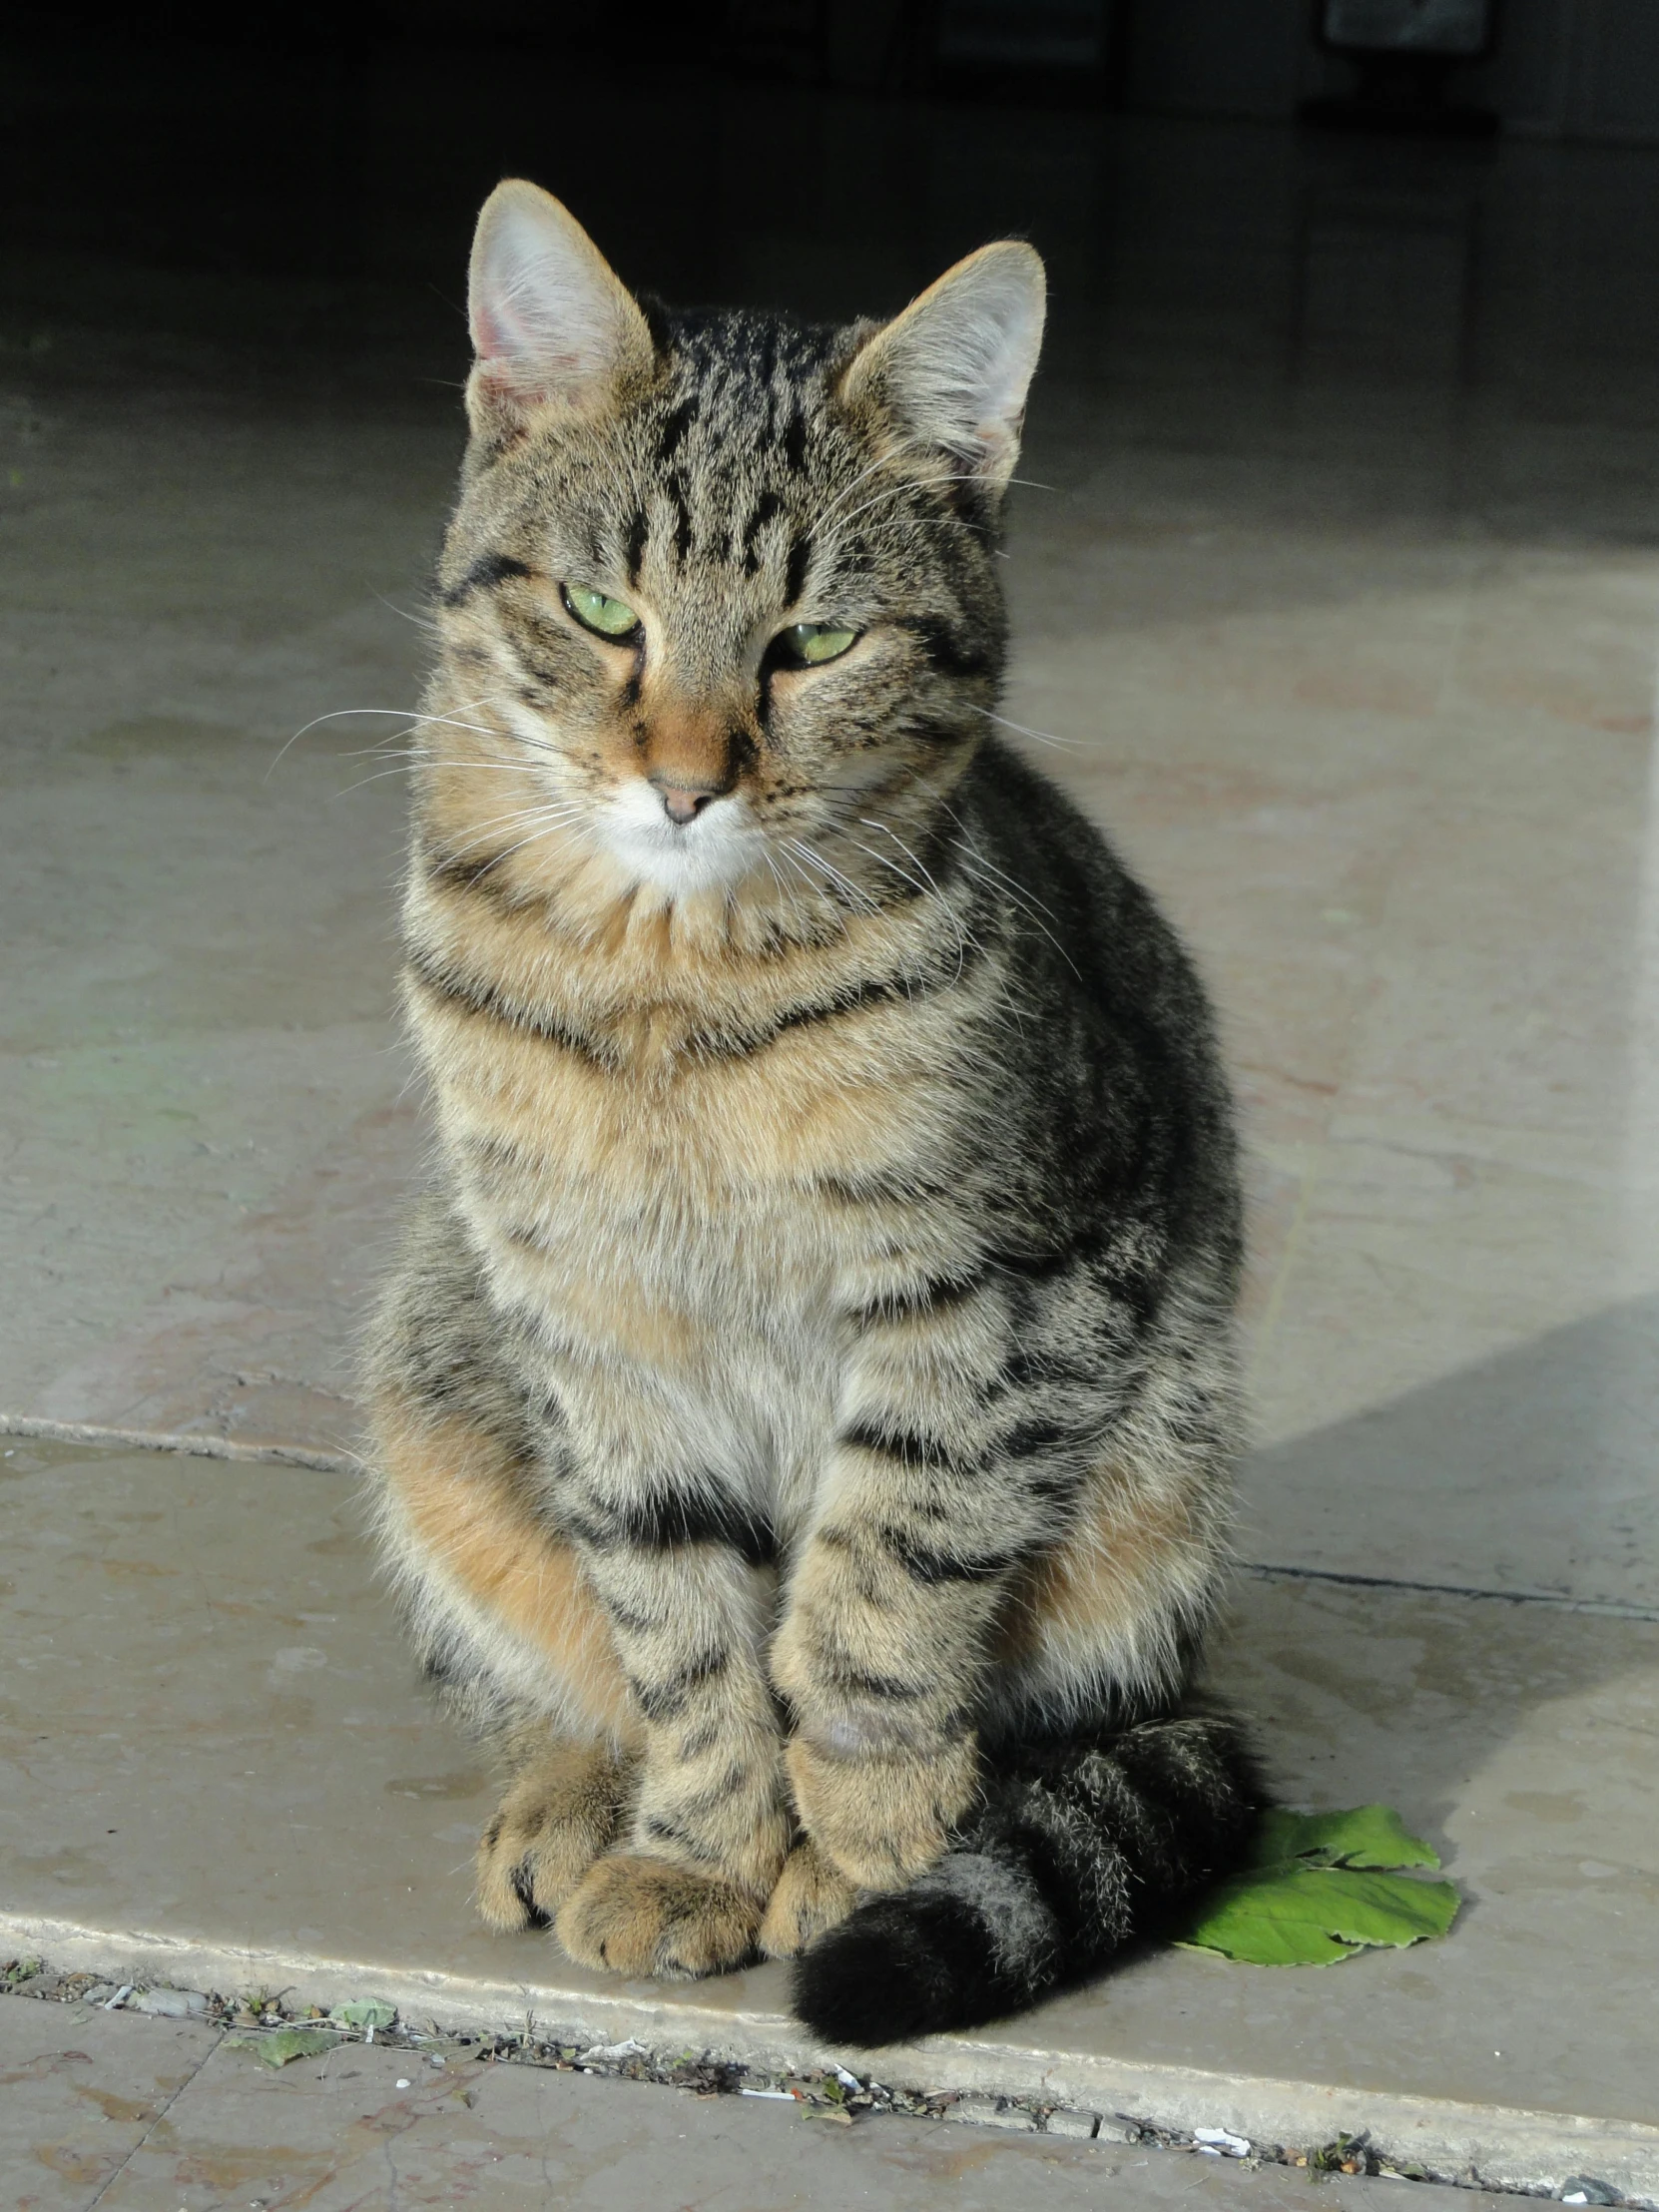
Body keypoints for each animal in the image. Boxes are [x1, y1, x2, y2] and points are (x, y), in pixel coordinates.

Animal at [362, 181, 1265, 2043]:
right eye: (602, 608)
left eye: (818, 641)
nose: (684, 783)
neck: (669, 988)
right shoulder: (592, 1324)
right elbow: (679, 1628)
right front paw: (699, 1853)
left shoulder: (1005, 1294)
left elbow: (871, 1603)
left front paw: (857, 1864)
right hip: (432, 1376)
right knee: (551, 1671)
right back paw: (570, 1801)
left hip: (1159, 1491)